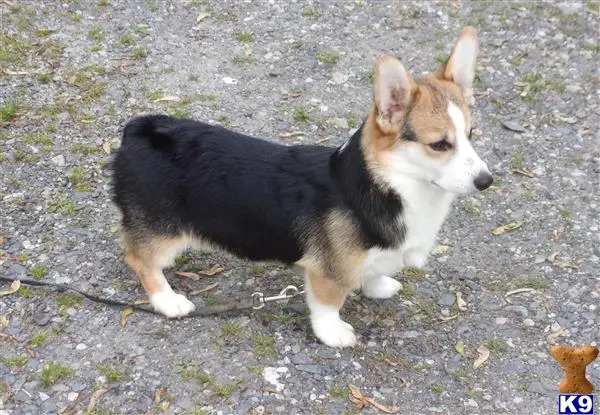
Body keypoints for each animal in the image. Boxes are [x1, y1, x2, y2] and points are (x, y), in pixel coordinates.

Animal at [111, 26, 492, 348]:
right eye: (440, 144)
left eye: (471, 134)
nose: (487, 181)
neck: (386, 187)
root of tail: (137, 130)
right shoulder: (327, 274)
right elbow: (328, 305)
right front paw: (333, 333)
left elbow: (373, 273)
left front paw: (379, 286)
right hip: (165, 233)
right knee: (138, 257)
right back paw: (167, 300)